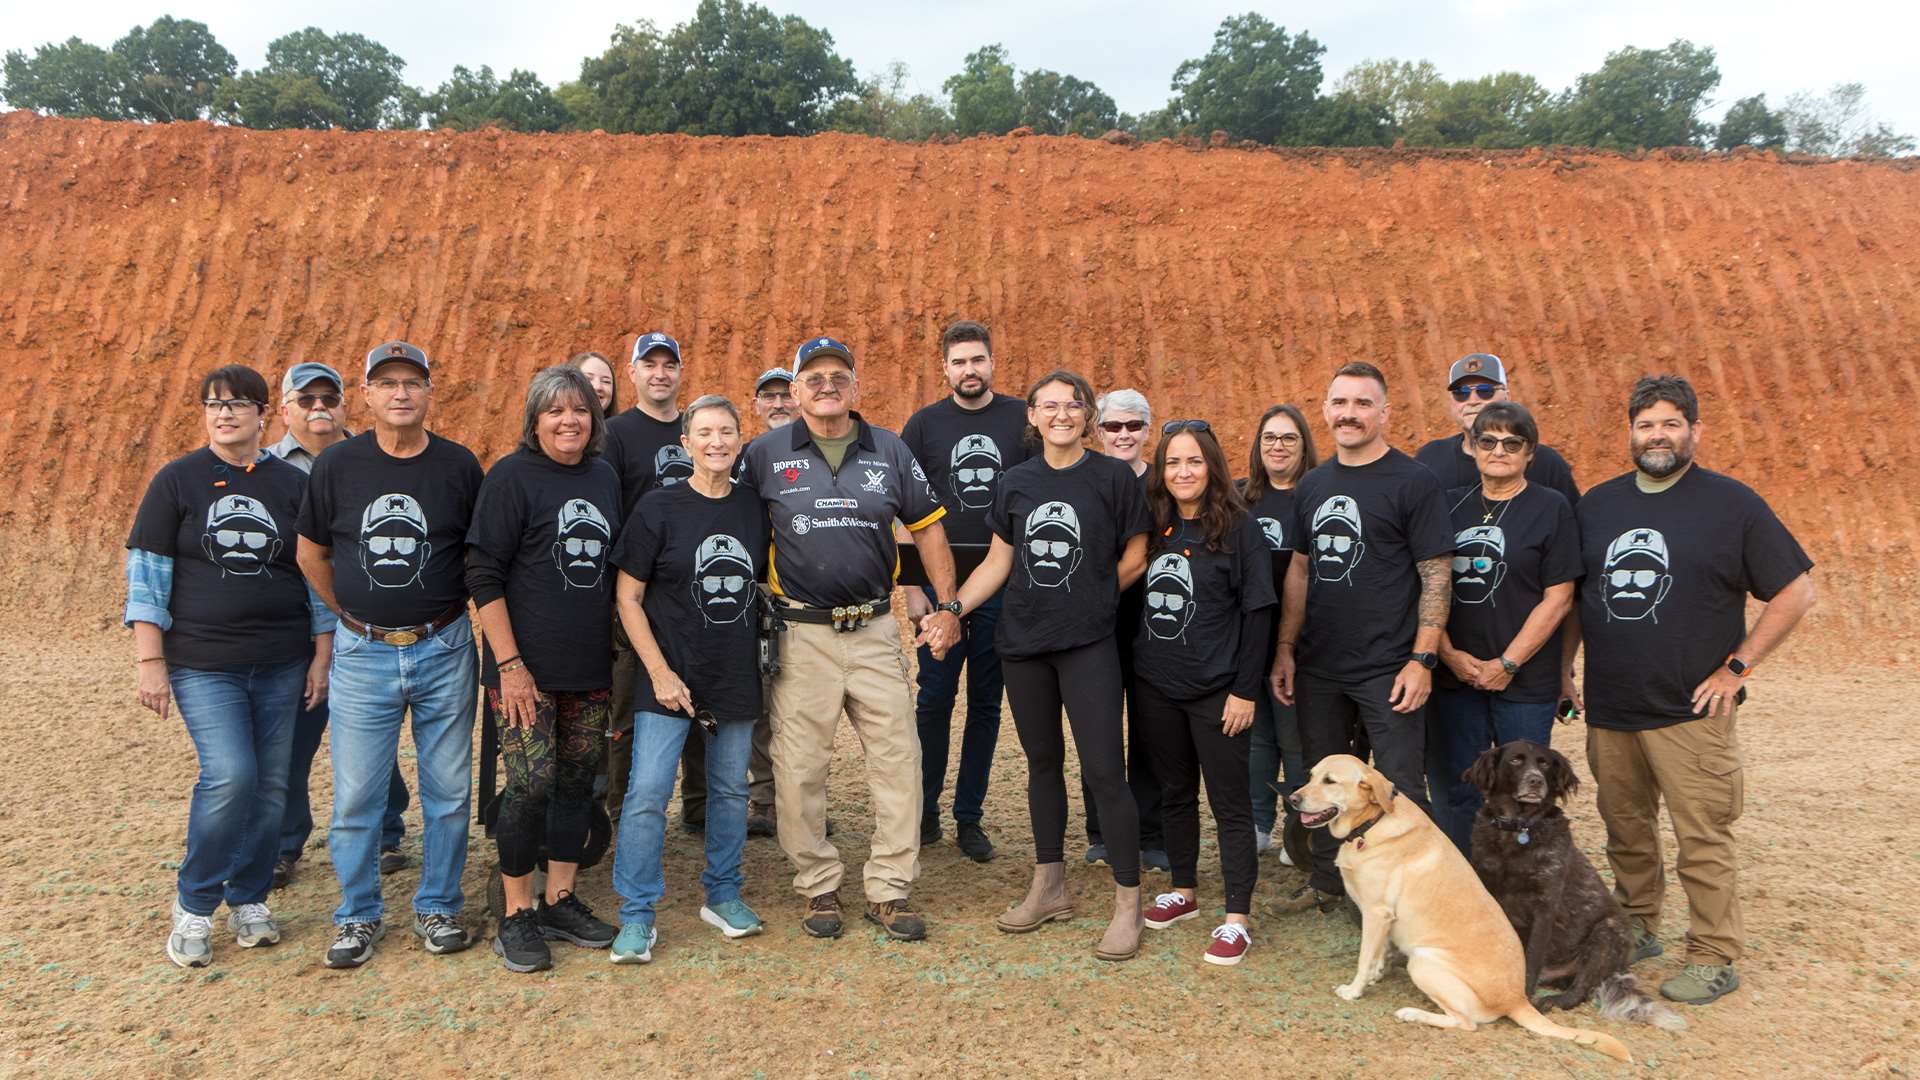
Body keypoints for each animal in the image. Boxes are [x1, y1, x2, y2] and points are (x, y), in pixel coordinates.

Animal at [1290, 753, 1635, 1060]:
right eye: (1311, 776)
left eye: (1330, 781)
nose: (1292, 799)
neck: (1372, 823)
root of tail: (1517, 999)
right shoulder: (1383, 919)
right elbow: (1379, 953)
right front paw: (1376, 974)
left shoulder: (1376, 913)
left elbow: (1364, 959)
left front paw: (1354, 990)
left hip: (1423, 962)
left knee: (1466, 1023)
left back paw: (1412, 1013)